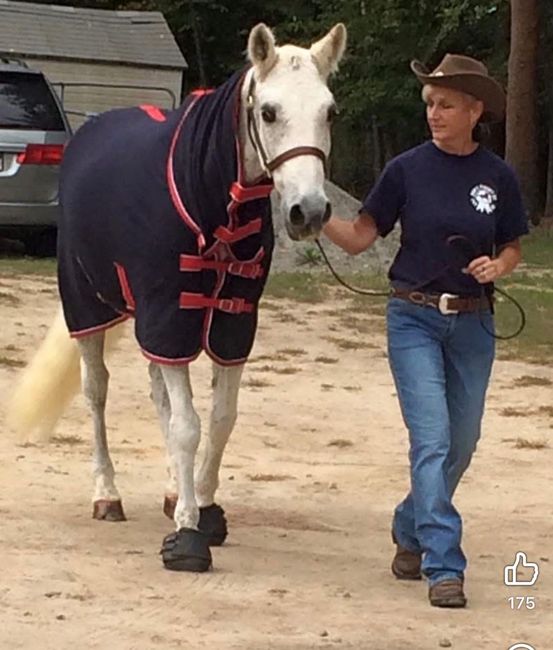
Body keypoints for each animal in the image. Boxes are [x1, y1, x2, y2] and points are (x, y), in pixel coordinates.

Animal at [7, 22, 347, 572]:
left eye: (329, 111)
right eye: (269, 111)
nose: (309, 212)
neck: (208, 198)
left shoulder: (230, 324)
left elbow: (219, 419)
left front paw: (202, 506)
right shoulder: (170, 314)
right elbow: (188, 425)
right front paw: (189, 532)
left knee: (159, 397)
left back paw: (171, 490)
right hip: (90, 307)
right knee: (97, 393)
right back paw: (107, 494)